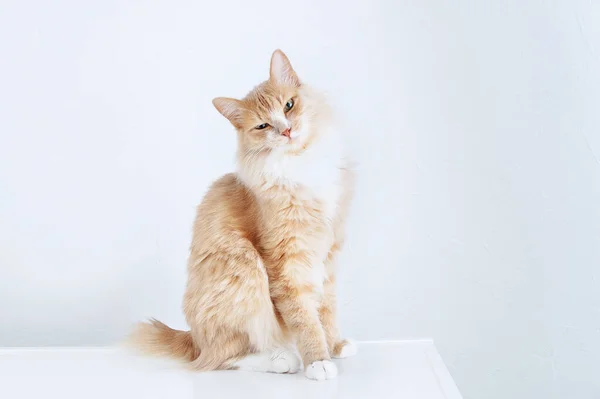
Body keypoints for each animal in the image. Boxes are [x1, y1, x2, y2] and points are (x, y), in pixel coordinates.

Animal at [130, 50, 356, 382]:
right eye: (262, 126)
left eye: (289, 105)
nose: (286, 130)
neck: (300, 163)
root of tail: (193, 339)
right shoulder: (286, 260)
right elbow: (305, 317)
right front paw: (318, 360)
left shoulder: (329, 254)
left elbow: (326, 310)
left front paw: (335, 345)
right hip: (243, 268)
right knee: (220, 358)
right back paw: (281, 359)